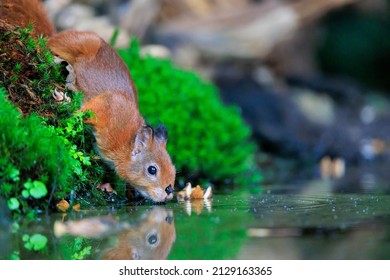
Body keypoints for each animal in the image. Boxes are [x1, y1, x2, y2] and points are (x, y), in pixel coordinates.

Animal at [0, 0, 176, 201]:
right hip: (76, 44)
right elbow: (83, 111)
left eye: (173, 170)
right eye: (152, 169)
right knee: (50, 44)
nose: (169, 191)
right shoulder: (108, 104)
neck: (125, 143)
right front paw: (64, 101)